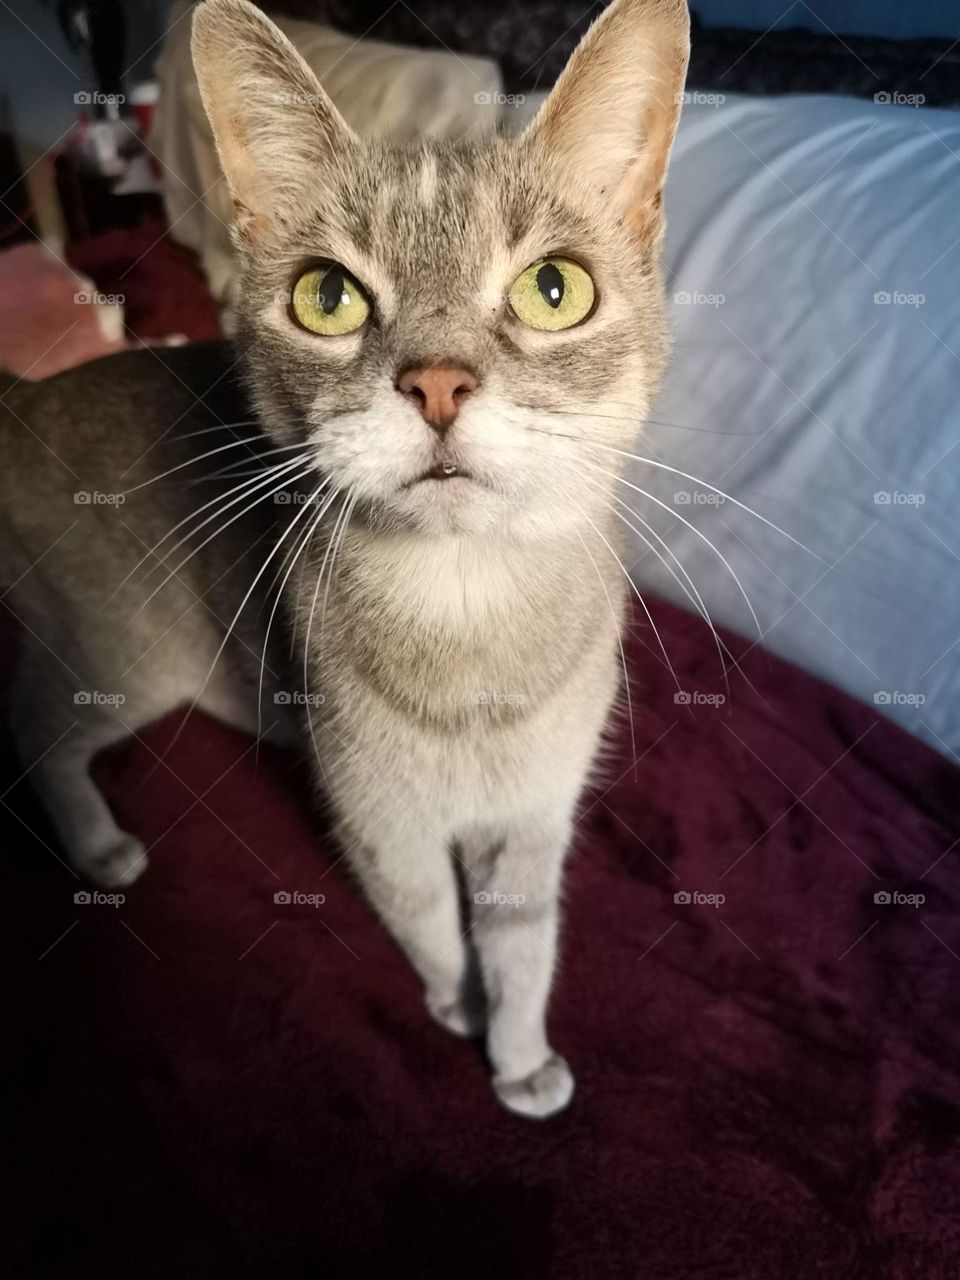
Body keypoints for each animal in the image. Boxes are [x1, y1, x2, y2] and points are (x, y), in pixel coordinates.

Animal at [0, 0, 691, 1116]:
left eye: (554, 289)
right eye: (328, 298)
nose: (439, 382)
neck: (468, 620)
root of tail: (21, 399)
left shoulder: (534, 818)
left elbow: (525, 941)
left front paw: (518, 1051)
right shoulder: (381, 822)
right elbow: (429, 919)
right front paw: (458, 1003)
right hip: (122, 660)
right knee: (30, 725)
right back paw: (97, 838)